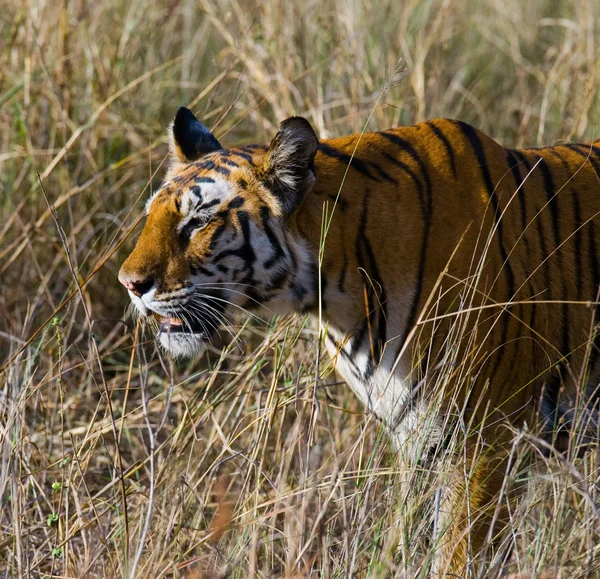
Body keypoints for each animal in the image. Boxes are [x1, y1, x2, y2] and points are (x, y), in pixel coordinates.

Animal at [117, 107, 600, 576]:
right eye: (151, 216)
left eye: (198, 222)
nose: (129, 285)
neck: (338, 294)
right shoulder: (416, 437)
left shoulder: (487, 437)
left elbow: (457, 555)